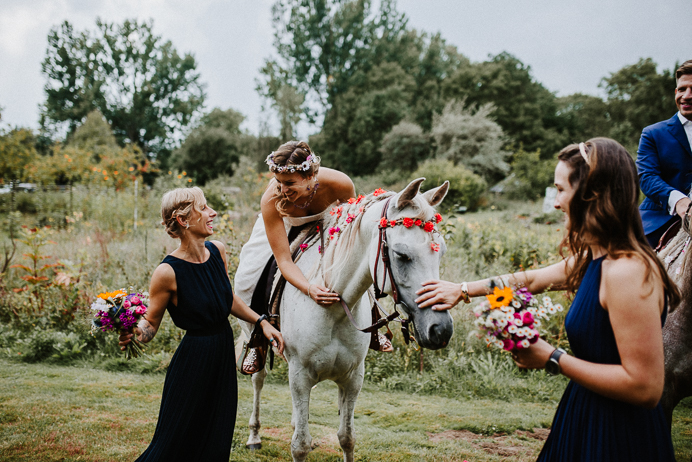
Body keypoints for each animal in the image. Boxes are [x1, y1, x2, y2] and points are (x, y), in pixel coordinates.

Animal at [238, 180, 454, 462]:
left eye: (440, 253)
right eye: (401, 255)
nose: (441, 330)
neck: (335, 312)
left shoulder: (352, 378)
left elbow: (347, 438)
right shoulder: (300, 376)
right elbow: (300, 445)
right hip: (255, 335)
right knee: (259, 379)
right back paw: (254, 436)